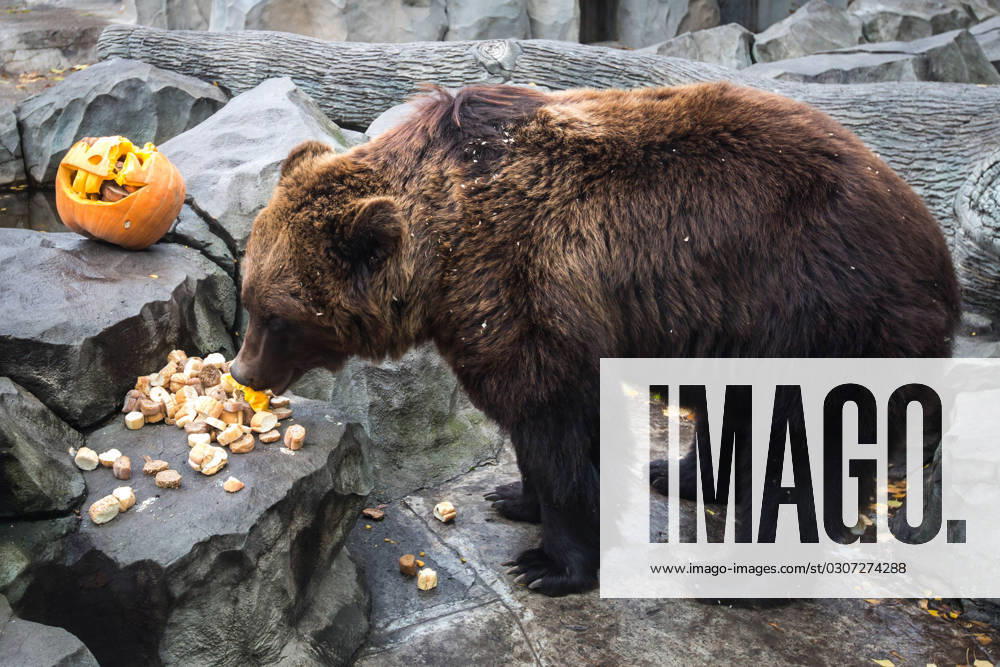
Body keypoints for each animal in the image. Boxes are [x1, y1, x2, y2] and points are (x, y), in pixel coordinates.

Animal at [229, 81, 960, 597]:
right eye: (248, 297)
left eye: (275, 314)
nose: (243, 371)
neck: (443, 251)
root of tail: (935, 251)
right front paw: (513, 496)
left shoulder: (528, 285)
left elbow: (556, 426)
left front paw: (551, 563)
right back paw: (679, 474)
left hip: (812, 308)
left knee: (801, 446)